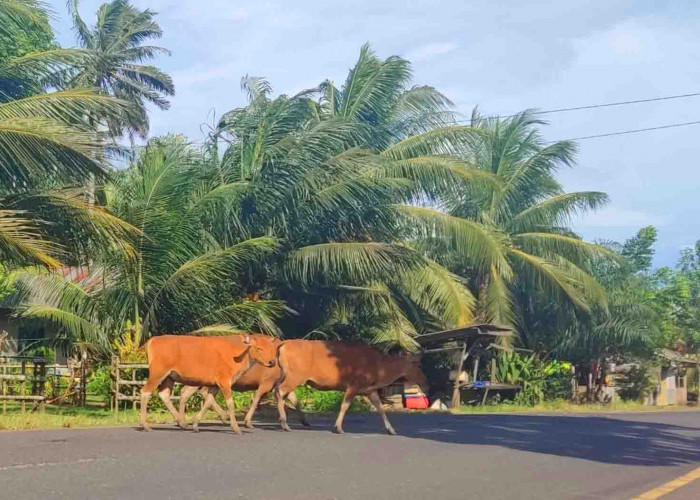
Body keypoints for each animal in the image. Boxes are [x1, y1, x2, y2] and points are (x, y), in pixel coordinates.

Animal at [139, 336, 276, 434]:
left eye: (271, 349)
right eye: (258, 348)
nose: (272, 362)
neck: (237, 355)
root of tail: (151, 341)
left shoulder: (215, 384)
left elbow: (208, 401)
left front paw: (195, 425)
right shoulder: (224, 381)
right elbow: (230, 404)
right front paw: (236, 428)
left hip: (169, 376)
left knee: (164, 393)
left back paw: (182, 423)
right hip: (158, 372)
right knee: (145, 391)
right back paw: (145, 425)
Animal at [276, 340, 430, 434]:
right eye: (418, 365)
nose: (425, 381)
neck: (379, 367)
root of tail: (283, 345)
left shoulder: (370, 390)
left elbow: (380, 408)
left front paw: (391, 429)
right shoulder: (353, 385)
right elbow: (345, 405)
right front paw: (338, 427)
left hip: (290, 375)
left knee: (285, 392)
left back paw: (296, 421)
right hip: (296, 375)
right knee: (280, 390)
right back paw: (284, 423)